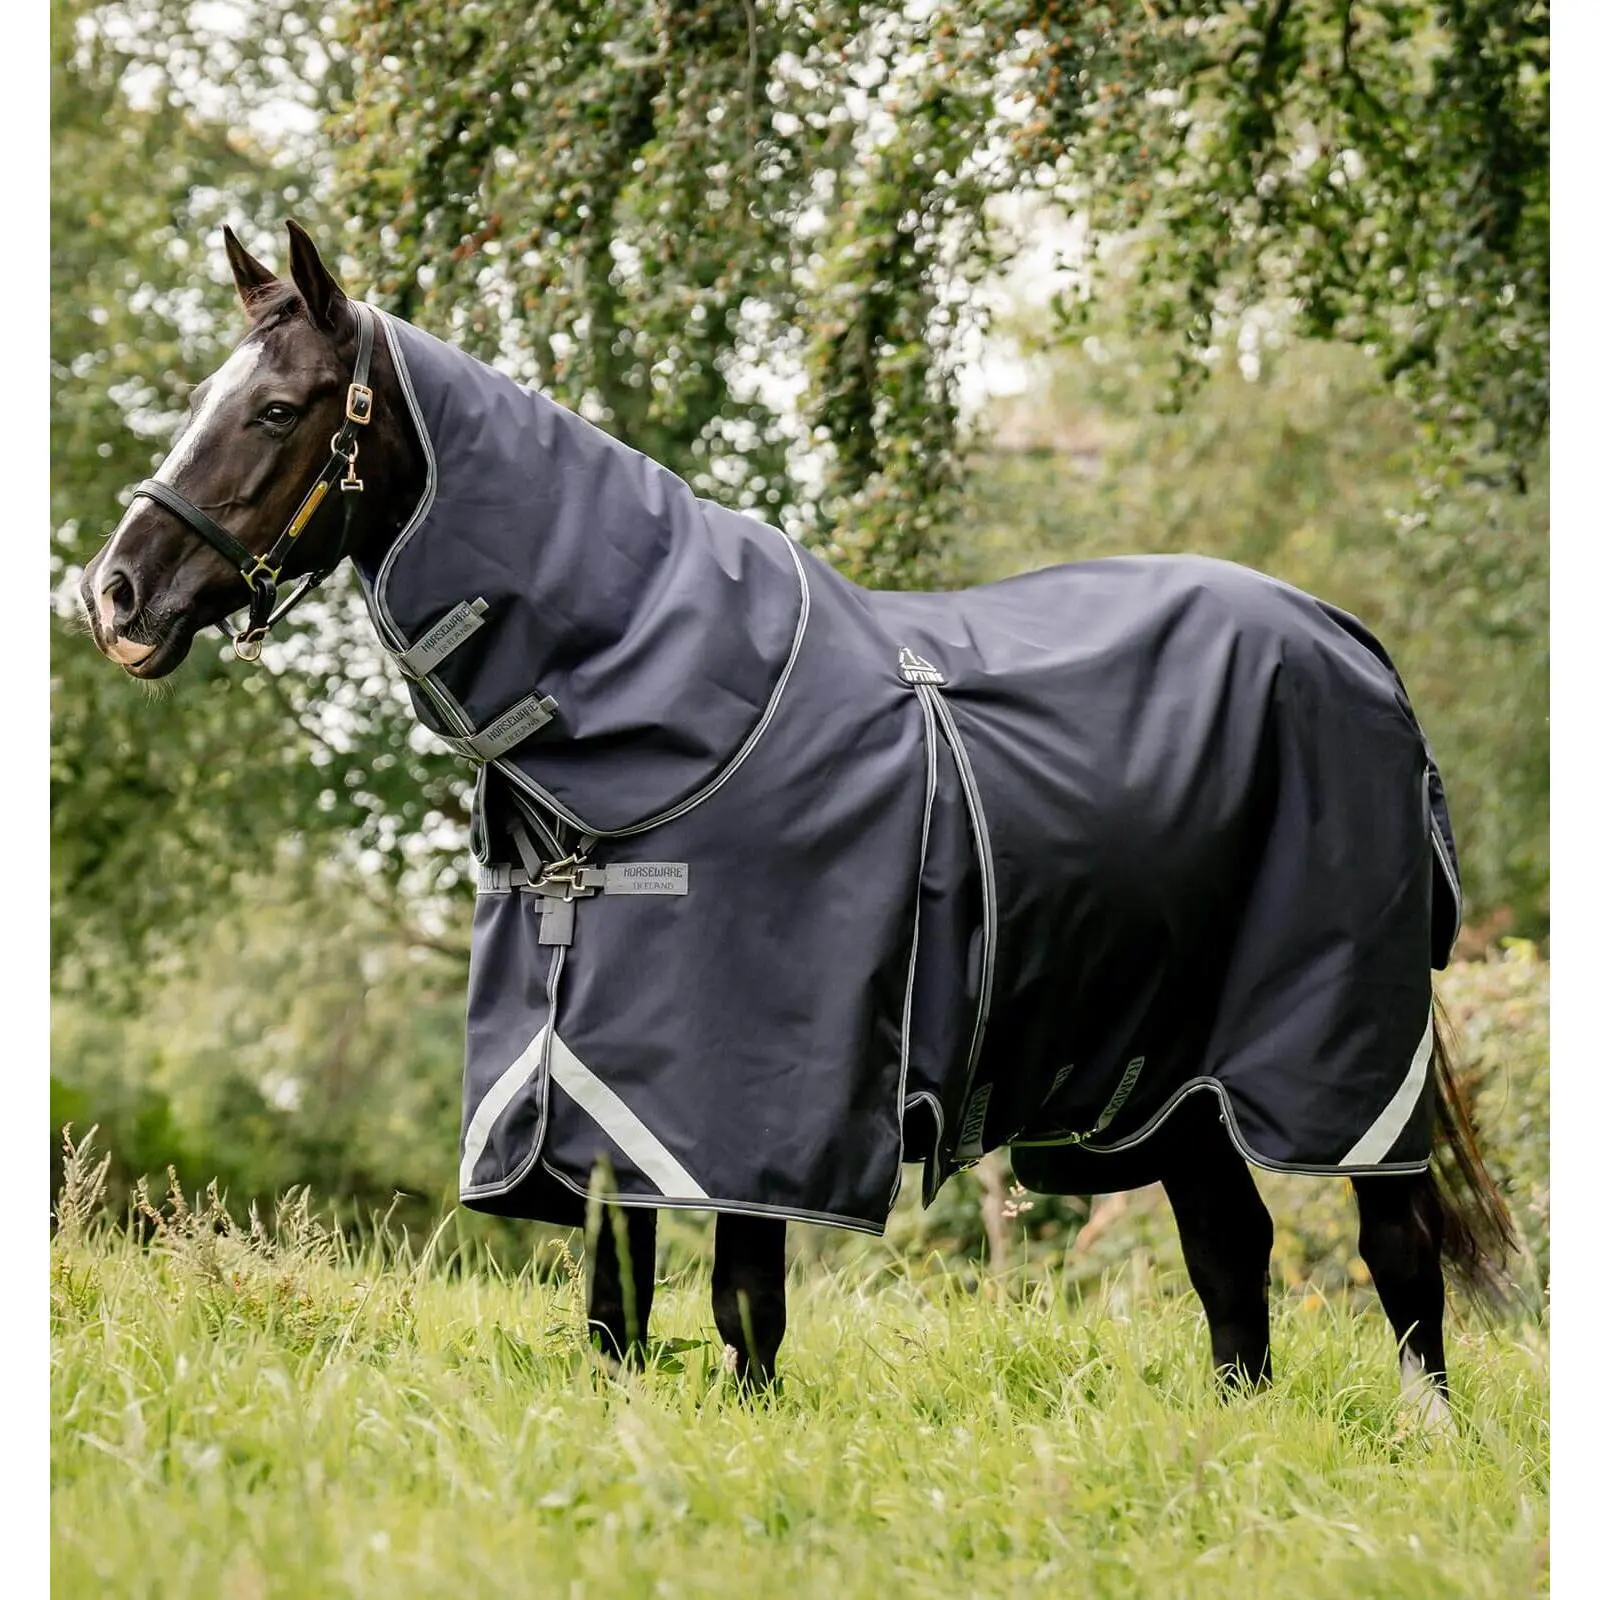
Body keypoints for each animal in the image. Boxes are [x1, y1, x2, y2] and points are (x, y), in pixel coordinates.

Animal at [77, 221, 1516, 1410]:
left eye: (276, 407)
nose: (114, 596)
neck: (662, 705)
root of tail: (1351, 644)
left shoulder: (748, 1102)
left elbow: (741, 1304)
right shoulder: (597, 1089)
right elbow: (614, 1306)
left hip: (1338, 1053)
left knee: (1394, 1247)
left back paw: (1422, 1435)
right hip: (1167, 1078)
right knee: (1231, 1246)